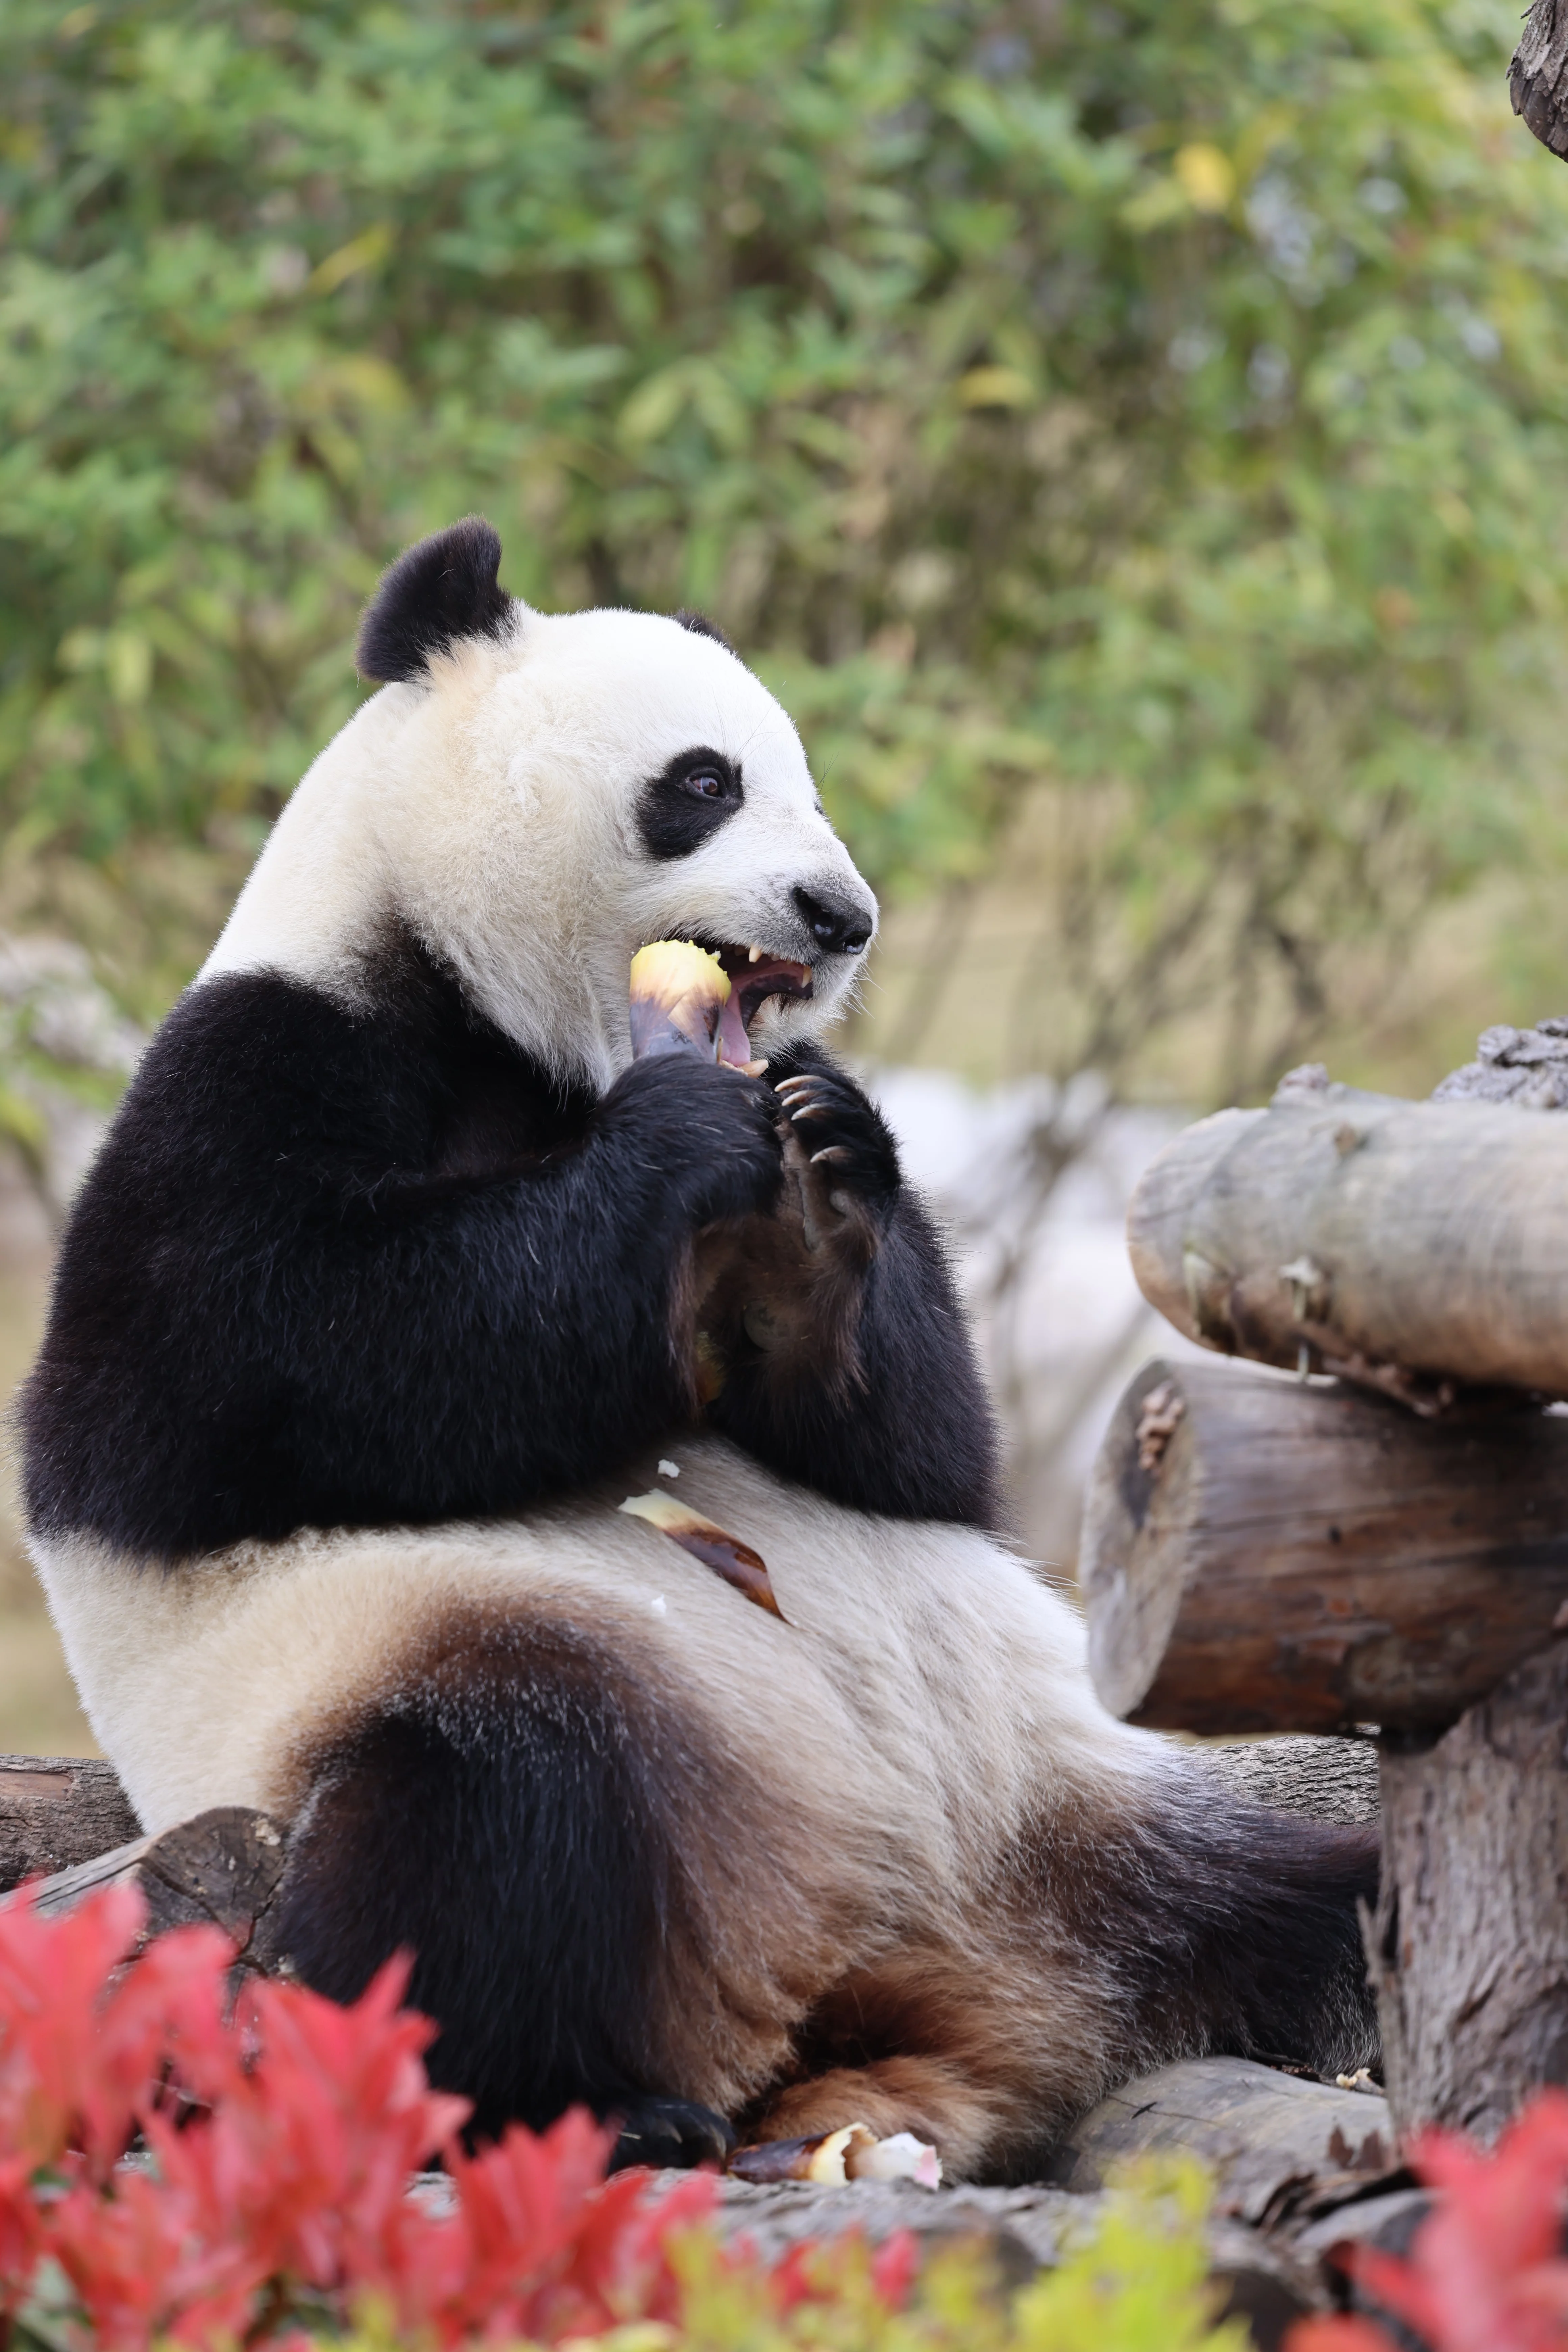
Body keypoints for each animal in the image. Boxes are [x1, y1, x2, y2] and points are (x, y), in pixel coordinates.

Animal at [21, 519, 1378, 2179]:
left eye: (807, 780)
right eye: (702, 780)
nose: (840, 915)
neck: (512, 1023)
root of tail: (903, 1970)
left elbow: (927, 1453)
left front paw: (824, 1192)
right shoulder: (252, 1075)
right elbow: (256, 1367)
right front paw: (674, 1147)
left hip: (1076, 1783)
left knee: (1282, 1882)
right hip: (451, 1678)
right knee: (482, 1837)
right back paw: (602, 2101)